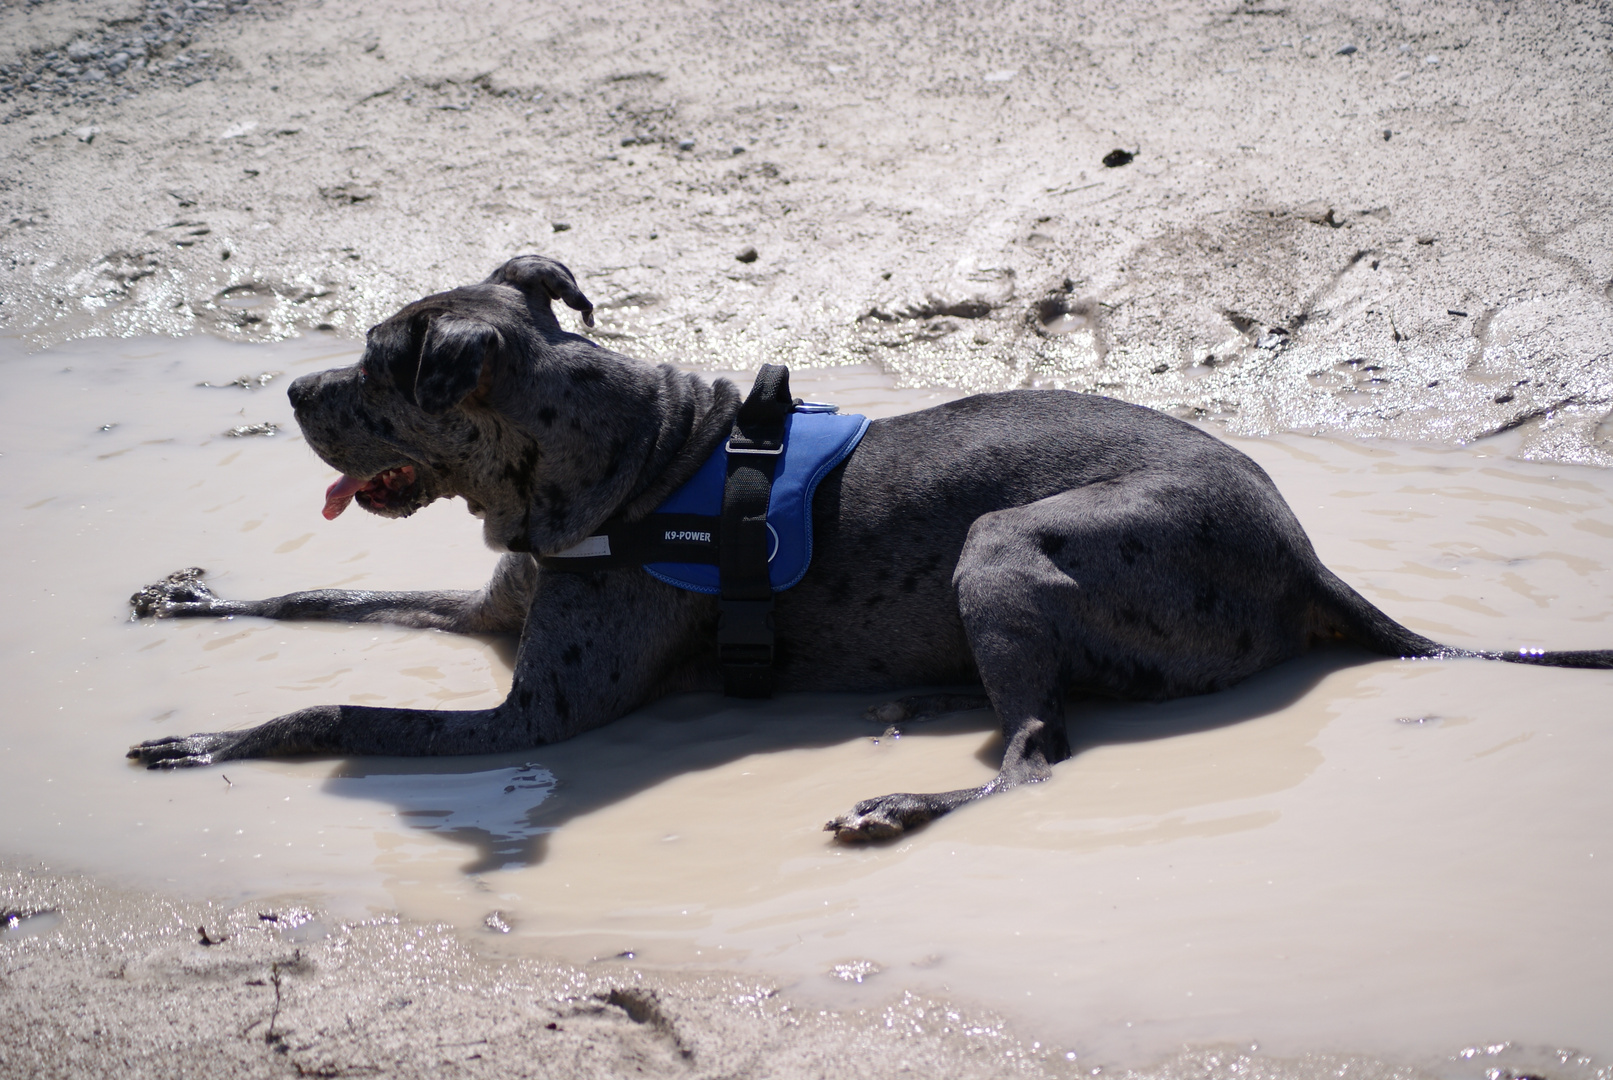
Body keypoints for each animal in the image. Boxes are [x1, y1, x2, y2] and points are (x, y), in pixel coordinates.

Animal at [129, 256, 1613, 844]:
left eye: (383, 370)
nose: (293, 389)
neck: (633, 457)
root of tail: (1304, 556)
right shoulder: (486, 614)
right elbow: (321, 594)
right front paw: (186, 598)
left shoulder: (529, 718)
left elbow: (333, 707)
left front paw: (209, 739)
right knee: (1033, 718)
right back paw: (921, 705)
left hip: (1008, 544)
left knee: (1035, 760)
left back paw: (905, 801)